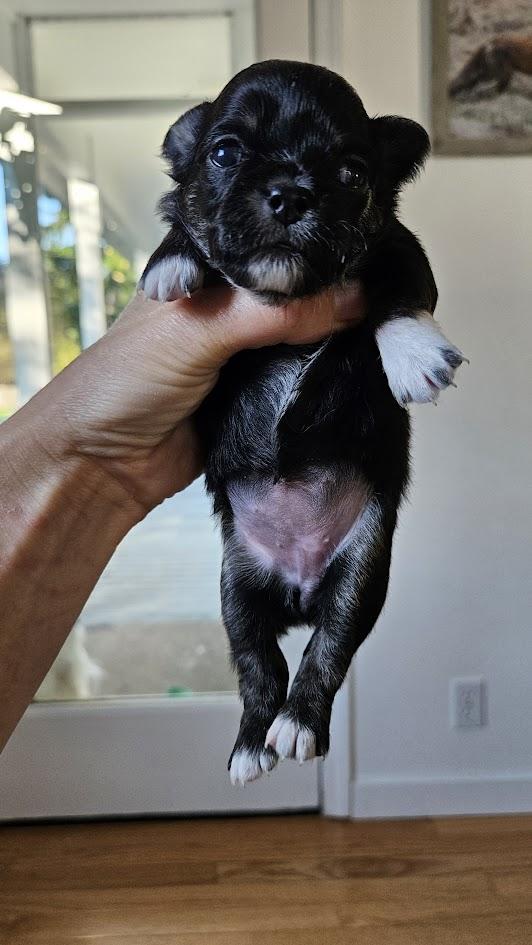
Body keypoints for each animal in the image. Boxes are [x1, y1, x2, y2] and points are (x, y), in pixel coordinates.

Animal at [140, 60, 464, 786]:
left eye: (351, 171)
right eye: (224, 153)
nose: (290, 192)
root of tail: (297, 589)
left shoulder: (398, 248)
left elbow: (399, 289)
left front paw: (414, 353)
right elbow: (189, 221)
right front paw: (172, 260)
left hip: (360, 572)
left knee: (326, 649)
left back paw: (296, 726)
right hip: (236, 589)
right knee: (259, 664)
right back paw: (251, 743)